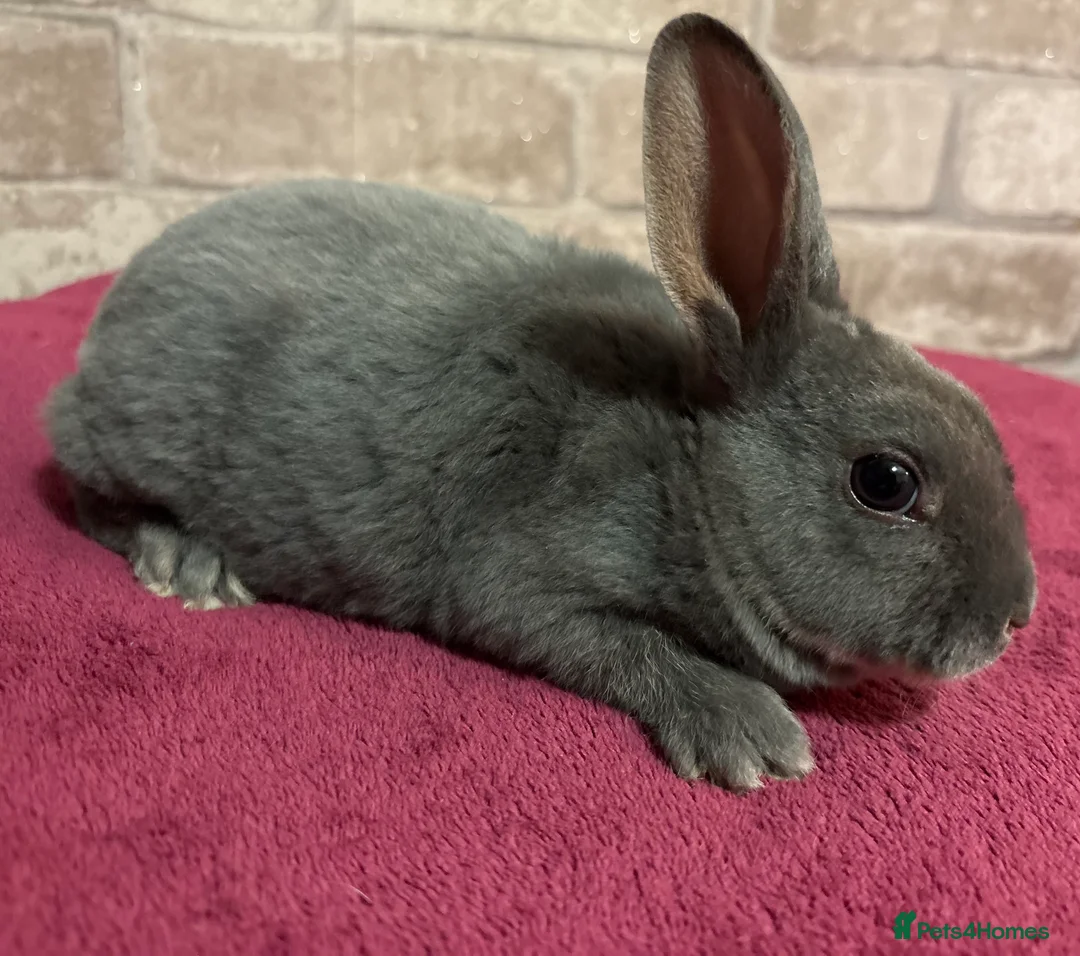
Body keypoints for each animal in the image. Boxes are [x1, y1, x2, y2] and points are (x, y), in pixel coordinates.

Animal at [44, 12, 1037, 792]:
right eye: (886, 481)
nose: (1014, 617)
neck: (688, 471)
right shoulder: (524, 579)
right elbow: (627, 647)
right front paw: (752, 740)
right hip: (126, 433)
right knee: (93, 497)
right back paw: (190, 565)